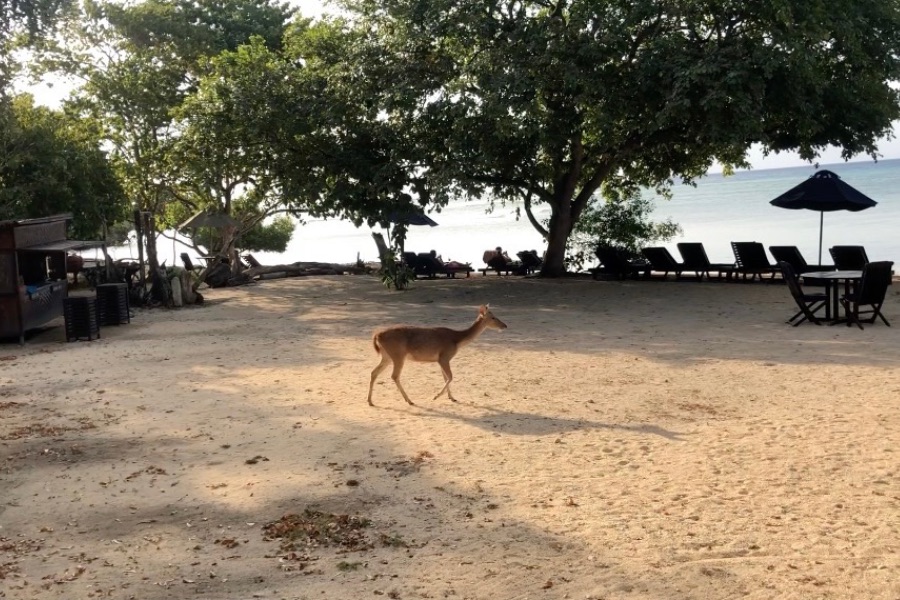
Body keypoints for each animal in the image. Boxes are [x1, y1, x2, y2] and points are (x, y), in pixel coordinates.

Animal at [366, 304, 506, 408]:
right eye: (493, 317)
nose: (505, 325)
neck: (457, 340)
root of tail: (377, 335)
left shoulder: (440, 359)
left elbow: (446, 377)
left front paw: (452, 398)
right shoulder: (444, 356)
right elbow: (450, 377)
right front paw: (436, 396)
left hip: (387, 356)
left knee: (374, 372)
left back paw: (370, 401)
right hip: (398, 355)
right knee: (394, 375)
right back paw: (409, 400)